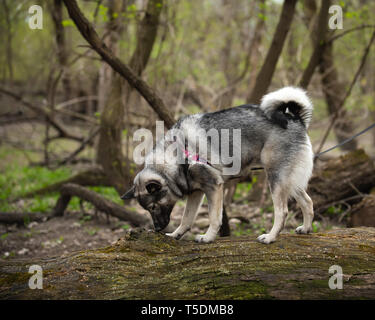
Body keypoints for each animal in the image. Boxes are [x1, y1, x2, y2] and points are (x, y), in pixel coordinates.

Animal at [122, 86, 314, 244]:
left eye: (153, 207)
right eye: (148, 209)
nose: (157, 229)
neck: (179, 154)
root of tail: (294, 118)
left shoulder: (213, 187)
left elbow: (214, 218)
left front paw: (208, 237)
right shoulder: (196, 193)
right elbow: (186, 219)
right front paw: (176, 234)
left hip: (276, 179)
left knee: (282, 212)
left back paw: (270, 237)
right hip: (289, 180)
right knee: (307, 202)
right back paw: (305, 228)